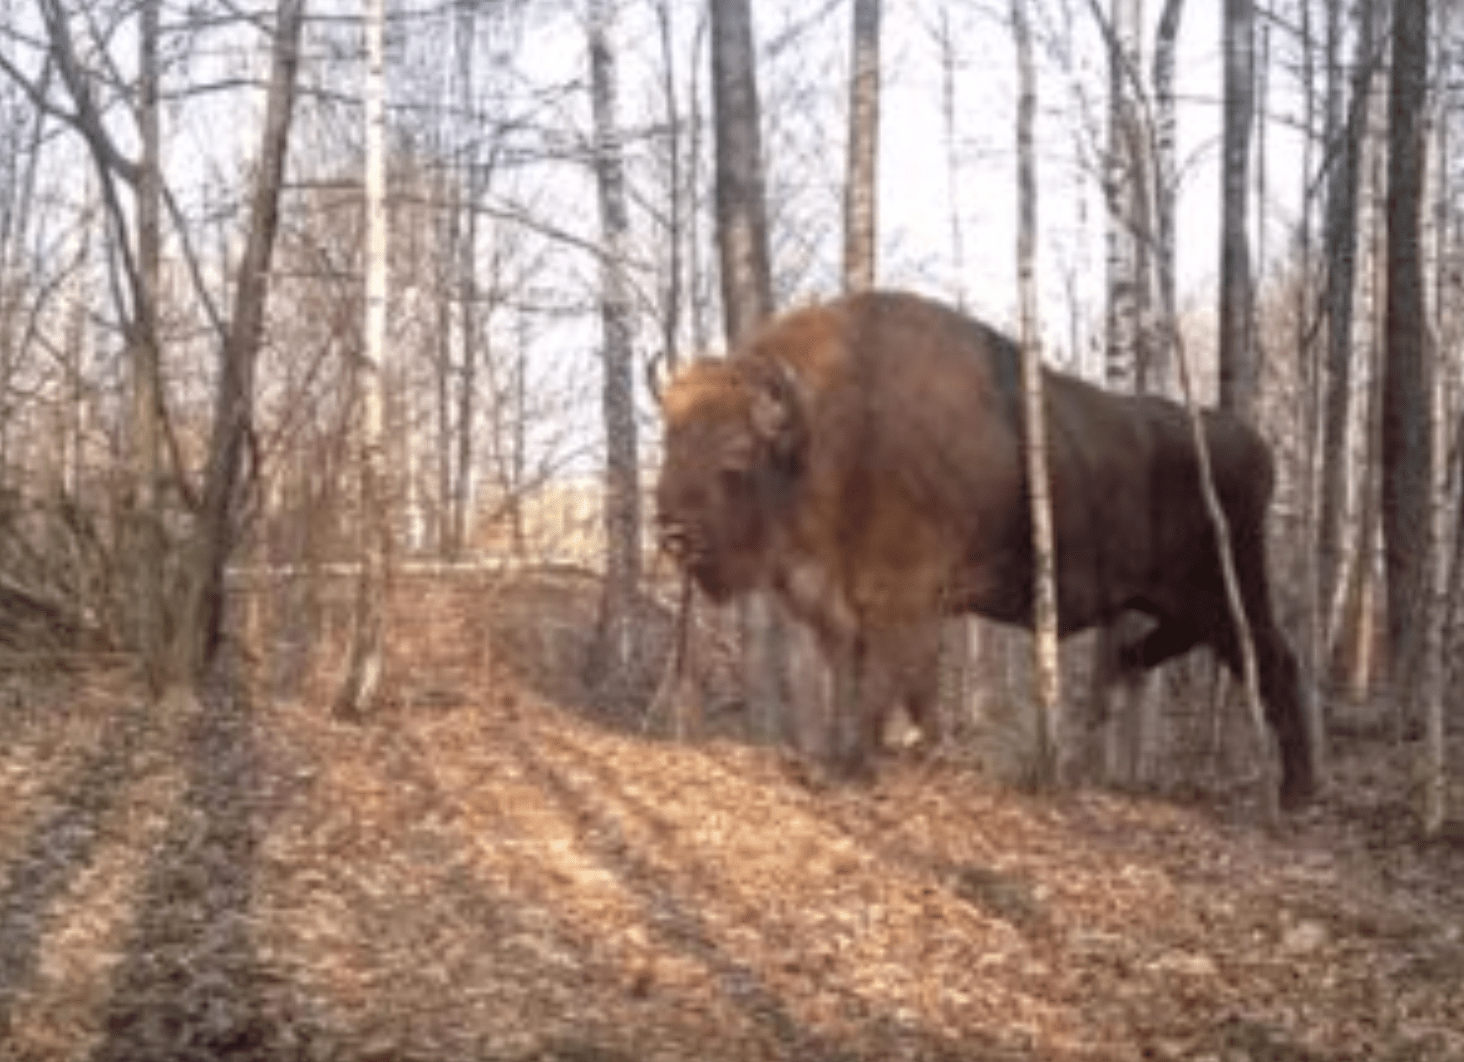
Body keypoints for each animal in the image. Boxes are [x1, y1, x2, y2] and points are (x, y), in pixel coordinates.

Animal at [658, 288, 1323, 802]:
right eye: (669, 441)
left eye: (736, 455)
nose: (670, 532)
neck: (827, 435)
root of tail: (1254, 444)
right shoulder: (855, 611)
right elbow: (880, 681)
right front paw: (898, 753)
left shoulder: (900, 601)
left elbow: (882, 682)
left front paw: (852, 768)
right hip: (1179, 600)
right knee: (1167, 651)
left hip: (1228, 592)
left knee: (1276, 663)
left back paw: (1298, 795)